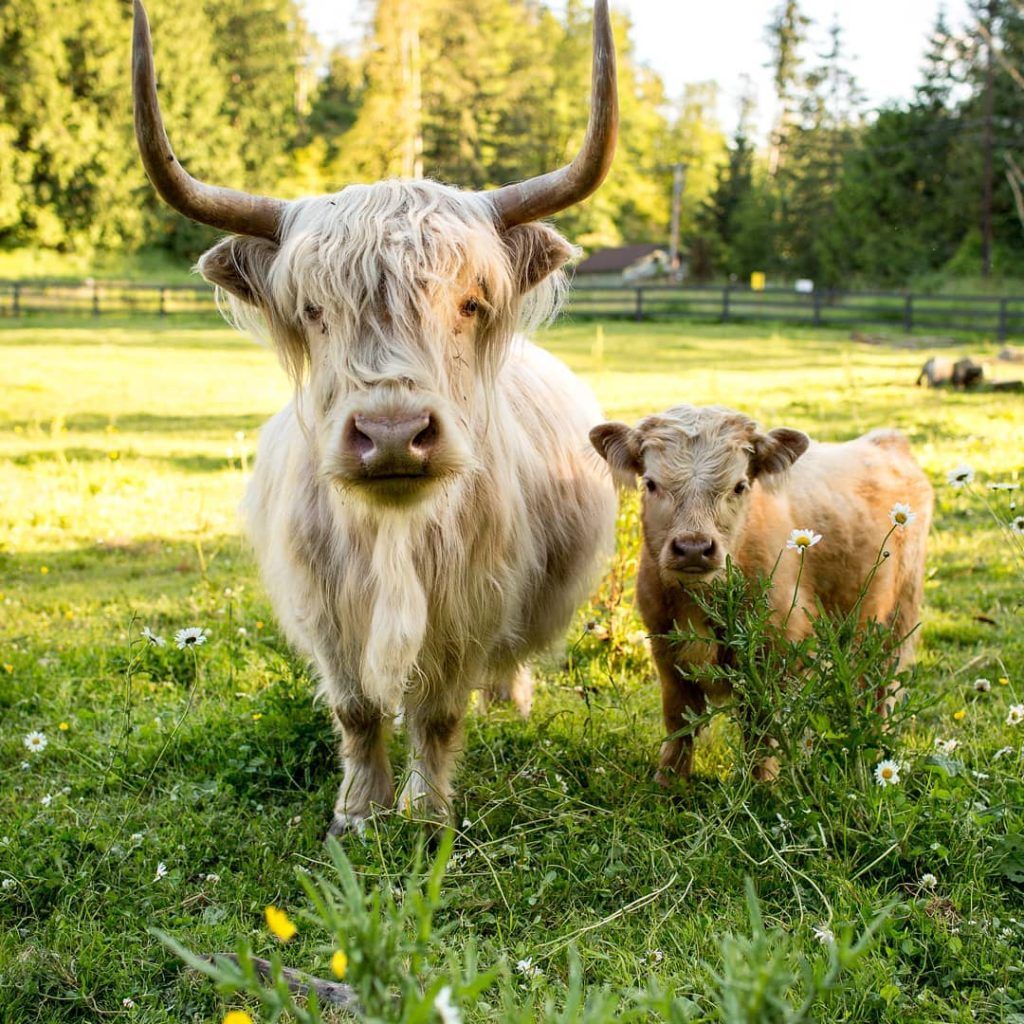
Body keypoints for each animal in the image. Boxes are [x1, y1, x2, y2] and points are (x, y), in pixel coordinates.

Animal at [131, 0, 619, 832]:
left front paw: (428, 814)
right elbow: (358, 711)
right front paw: (359, 811)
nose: (393, 435)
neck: (393, 529)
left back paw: (510, 700)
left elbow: (437, 715)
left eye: (471, 302)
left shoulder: (468, 608)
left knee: (509, 660)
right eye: (313, 310)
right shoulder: (324, 610)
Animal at [590, 405, 933, 783]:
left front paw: (761, 784)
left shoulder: (776, 650)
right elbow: (678, 718)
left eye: (739, 486)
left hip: (898, 618)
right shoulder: (665, 647)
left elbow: (761, 724)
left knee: (881, 687)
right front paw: (669, 780)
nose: (694, 548)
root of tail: (887, 440)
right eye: (651, 483)